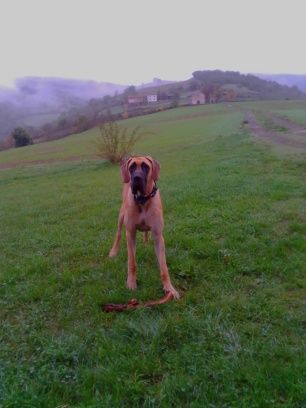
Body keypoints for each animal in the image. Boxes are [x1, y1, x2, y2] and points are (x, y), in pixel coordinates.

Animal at [109, 155, 179, 298]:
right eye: (132, 167)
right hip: (121, 216)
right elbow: (132, 262)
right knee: (118, 233)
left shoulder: (158, 235)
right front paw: (131, 283)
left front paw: (169, 288)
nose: (136, 178)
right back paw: (113, 251)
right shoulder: (130, 233)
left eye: (146, 167)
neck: (142, 200)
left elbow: (164, 266)